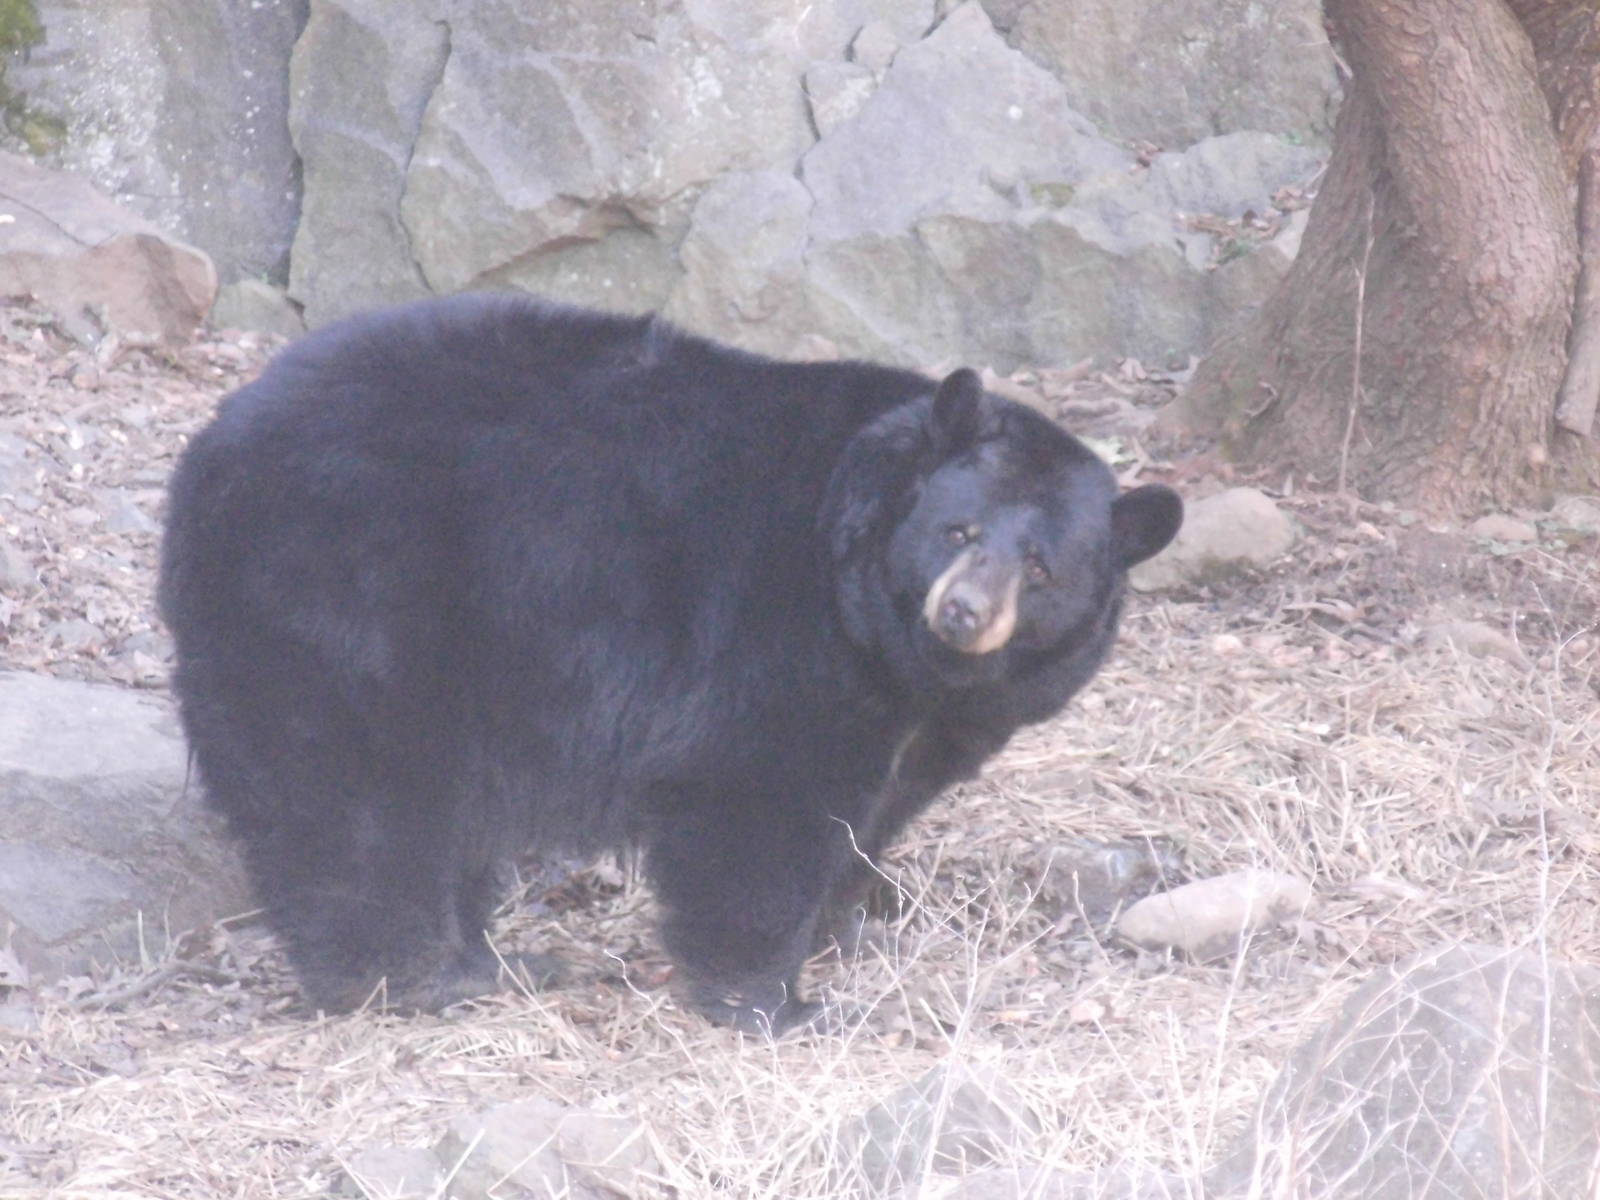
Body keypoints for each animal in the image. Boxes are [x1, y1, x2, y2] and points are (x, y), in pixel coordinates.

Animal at [159, 293, 1182, 1034]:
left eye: (1042, 567)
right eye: (959, 530)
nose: (964, 612)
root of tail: (207, 449)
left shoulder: (935, 718)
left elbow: (877, 810)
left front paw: (845, 926)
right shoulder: (776, 627)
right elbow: (758, 802)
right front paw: (779, 1003)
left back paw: (493, 958)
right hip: (346, 590)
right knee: (358, 799)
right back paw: (420, 979)